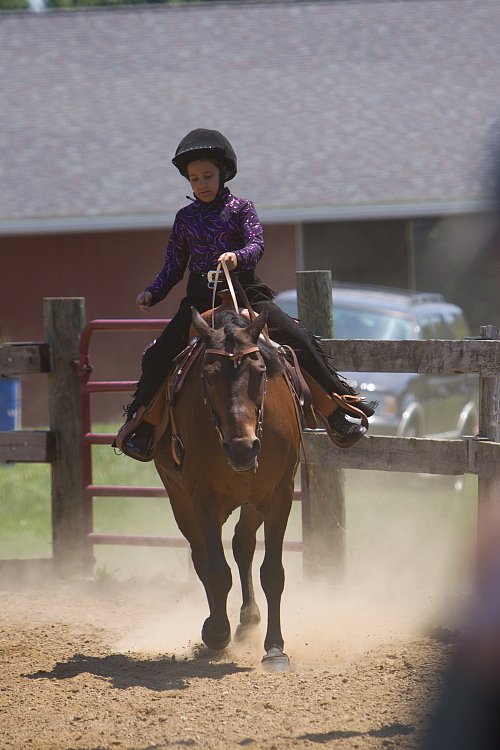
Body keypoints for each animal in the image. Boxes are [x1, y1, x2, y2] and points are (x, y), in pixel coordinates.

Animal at [154, 308, 298, 672]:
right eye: (208, 377)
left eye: (260, 372)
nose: (243, 449)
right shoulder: (203, 498)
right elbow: (217, 571)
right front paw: (217, 632)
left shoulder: (280, 495)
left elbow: (272, 573)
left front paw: (275, 649)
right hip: (180, 498)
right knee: (202, 555)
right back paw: (217, 627)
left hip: (252, 501)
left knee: (242, 544)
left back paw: (248, 619)